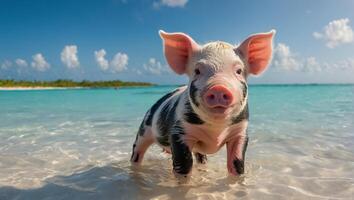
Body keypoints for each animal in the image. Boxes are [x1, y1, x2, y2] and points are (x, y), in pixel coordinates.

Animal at [131, 29, 276, 177]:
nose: (218, 88)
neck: (216, 131)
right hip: (144, 129)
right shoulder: (179, 131)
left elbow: (237, 164)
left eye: (239, 71)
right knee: (137, 150)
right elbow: (184, 166)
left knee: (201, 158)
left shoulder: (240, 132)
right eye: (197, 71)